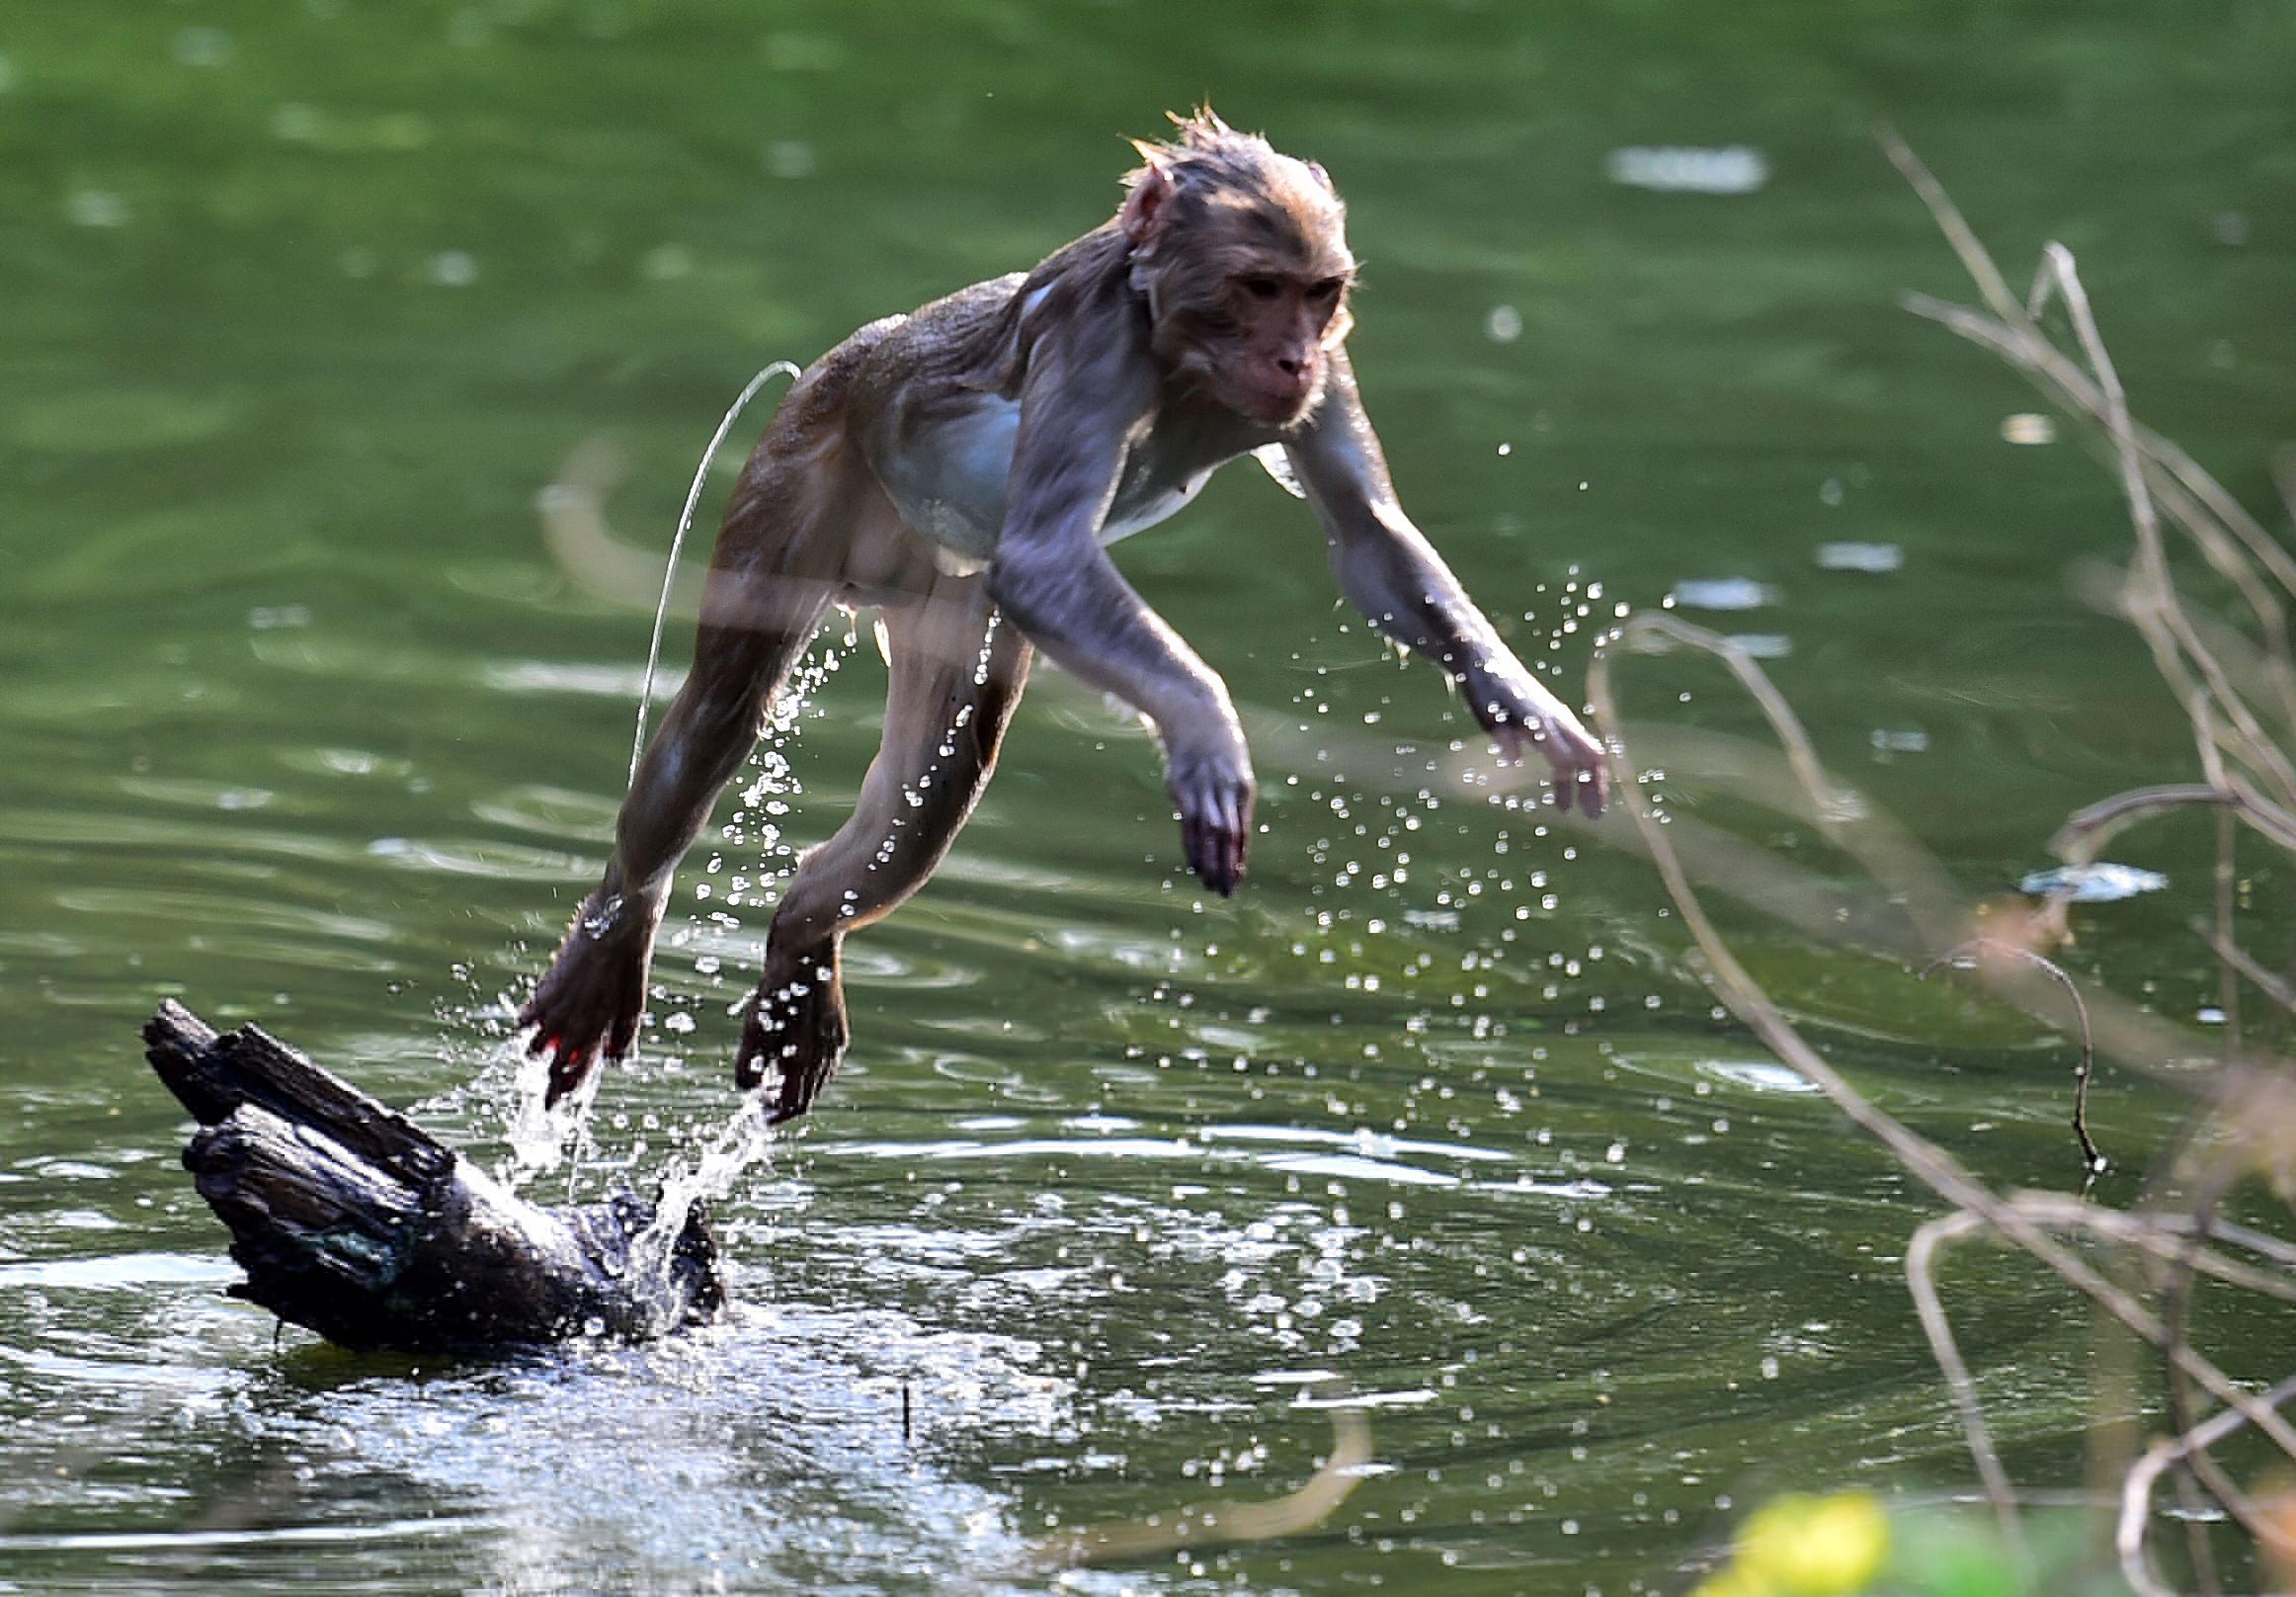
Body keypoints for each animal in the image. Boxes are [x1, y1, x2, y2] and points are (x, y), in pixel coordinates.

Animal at [521, 109, 1606, 1126]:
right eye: (1258, 287)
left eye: (1318, 292)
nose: (1292, 357)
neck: (1179, 352)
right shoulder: (1096, 345)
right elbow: (1048, 558)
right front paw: (1207, 731)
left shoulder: (1332, 369)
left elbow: (1368, 536)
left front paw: (1524, 705)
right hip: (806, 454)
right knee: (722, 711)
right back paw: (613, 940)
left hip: (953, 594)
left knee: (939, 776)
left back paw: (801, 939)